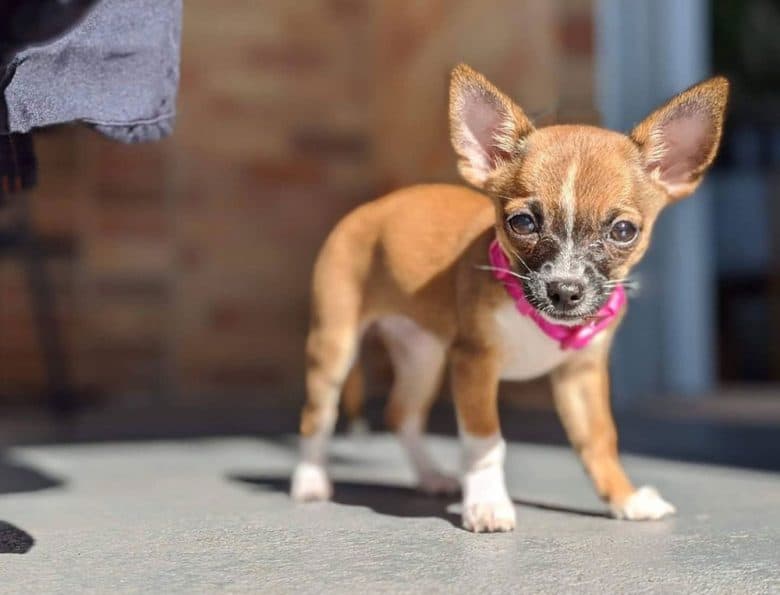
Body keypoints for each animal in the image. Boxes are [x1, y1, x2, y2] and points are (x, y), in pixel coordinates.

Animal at [290, 62, 728, 532]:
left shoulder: (581, 375)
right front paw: (486, 503)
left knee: (401, 414)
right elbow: (485, 441)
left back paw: (429, 477)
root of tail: (368, 210)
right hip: (335, 347)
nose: (565, 291)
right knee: (317, 415)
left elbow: (599, 440)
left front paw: (623, 498)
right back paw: (310, 481)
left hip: (422, 355)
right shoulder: (475, 365)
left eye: (623, 231)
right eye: (522, 222)